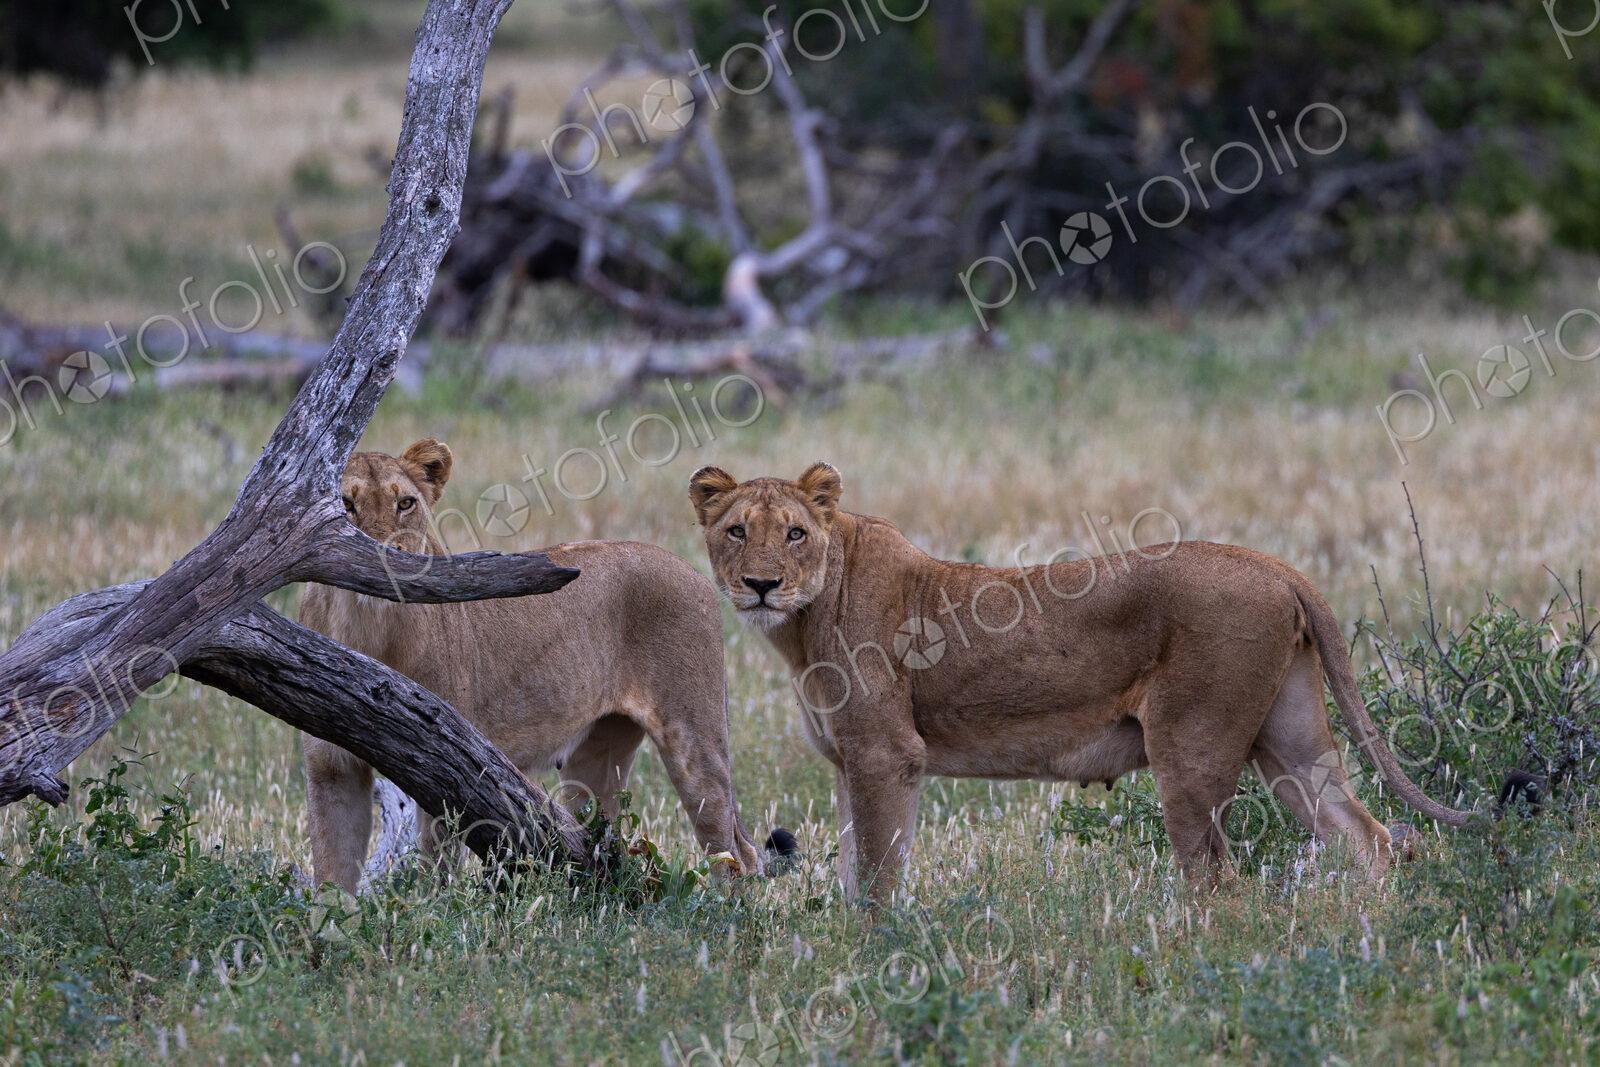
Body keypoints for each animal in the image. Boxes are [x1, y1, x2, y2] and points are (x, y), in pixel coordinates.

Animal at [300, 440, 766, 893]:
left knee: (735, 852)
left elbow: (435, 871)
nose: (388, 556)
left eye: (405, 504)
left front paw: (428, 910)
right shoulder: (330, 767)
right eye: (346, 504)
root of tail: (692, 569)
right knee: (601, 833)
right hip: (596, 755)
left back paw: (721, 910)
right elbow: (332, 870)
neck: (366, 623)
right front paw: (333, 917)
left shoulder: (439, 757)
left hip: (693, 736)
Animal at [689, 461, 1471, 901]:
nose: (762, 585)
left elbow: (880, 877)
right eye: (736, 531)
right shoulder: (848, 763)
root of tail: (1277, 565)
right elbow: (856, 868)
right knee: (1368, 838)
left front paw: (881, 964)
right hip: (1292, 740)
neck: (801, 627)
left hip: (1191, 748)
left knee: (1215, 877)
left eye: (794, 533)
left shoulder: (887, 754)